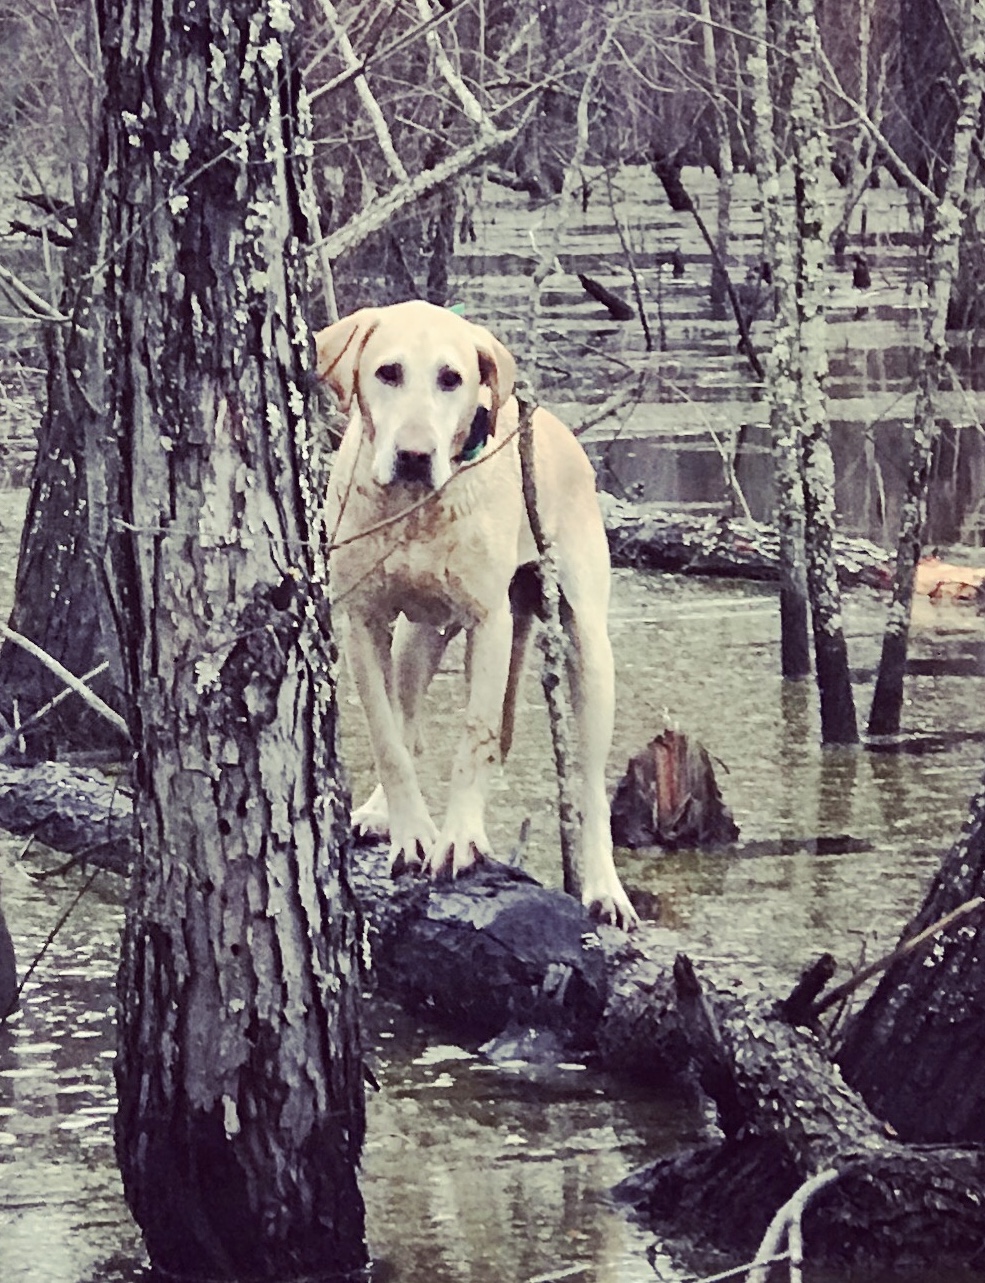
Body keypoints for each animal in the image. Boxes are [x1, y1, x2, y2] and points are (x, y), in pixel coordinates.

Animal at [315, 297, 638, 934]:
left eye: (451, 378)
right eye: (387, 372)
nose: (415, 456)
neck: (415, 509)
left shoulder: (490, 622)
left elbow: (477, 735)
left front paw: (460, 839)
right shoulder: (363, 620)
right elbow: (389, 737)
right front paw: (411, 831)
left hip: (588, 643)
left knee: (590, 783)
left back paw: (603, 888)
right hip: (416, 637)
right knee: (408, 715)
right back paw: (380, 810)